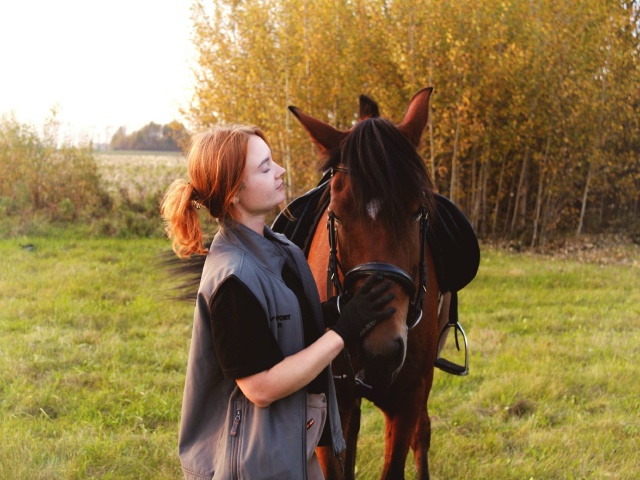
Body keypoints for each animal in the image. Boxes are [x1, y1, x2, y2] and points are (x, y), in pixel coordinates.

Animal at [287, 87, 441, 479]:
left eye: (418, 211)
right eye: (336, 215)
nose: (380, 350)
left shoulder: (407, 398)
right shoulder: (331, 403)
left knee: (423, 432)